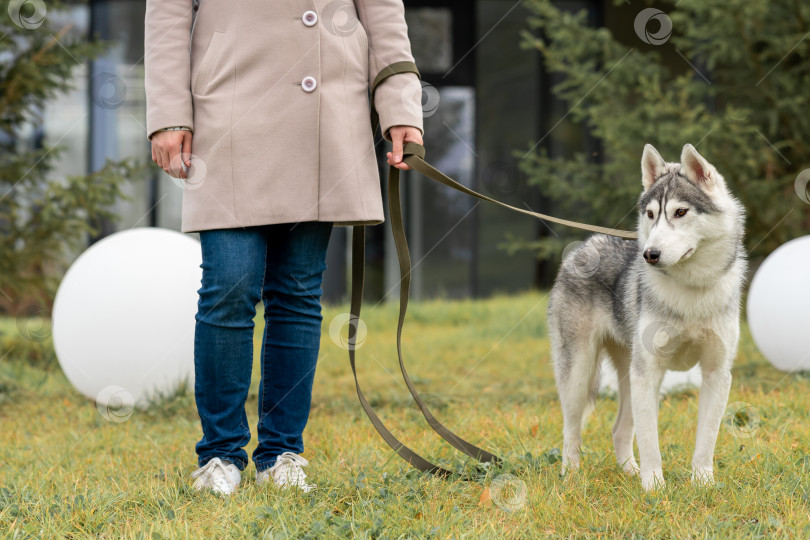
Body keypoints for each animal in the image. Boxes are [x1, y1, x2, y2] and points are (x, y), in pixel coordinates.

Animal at [548, 143, 748, 490]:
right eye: (651, 214)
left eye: (680, 212)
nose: (649, 254)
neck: (691, 290)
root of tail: (585, 245)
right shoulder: (649, 373)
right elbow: (650, 440)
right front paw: (654, 487)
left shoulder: (717, 373)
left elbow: (706, 440)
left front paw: (703, 484)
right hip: (580, 376)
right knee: (571, 432)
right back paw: (571, 477)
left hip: (628, 376)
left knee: (619, 430)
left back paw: (629, 472)